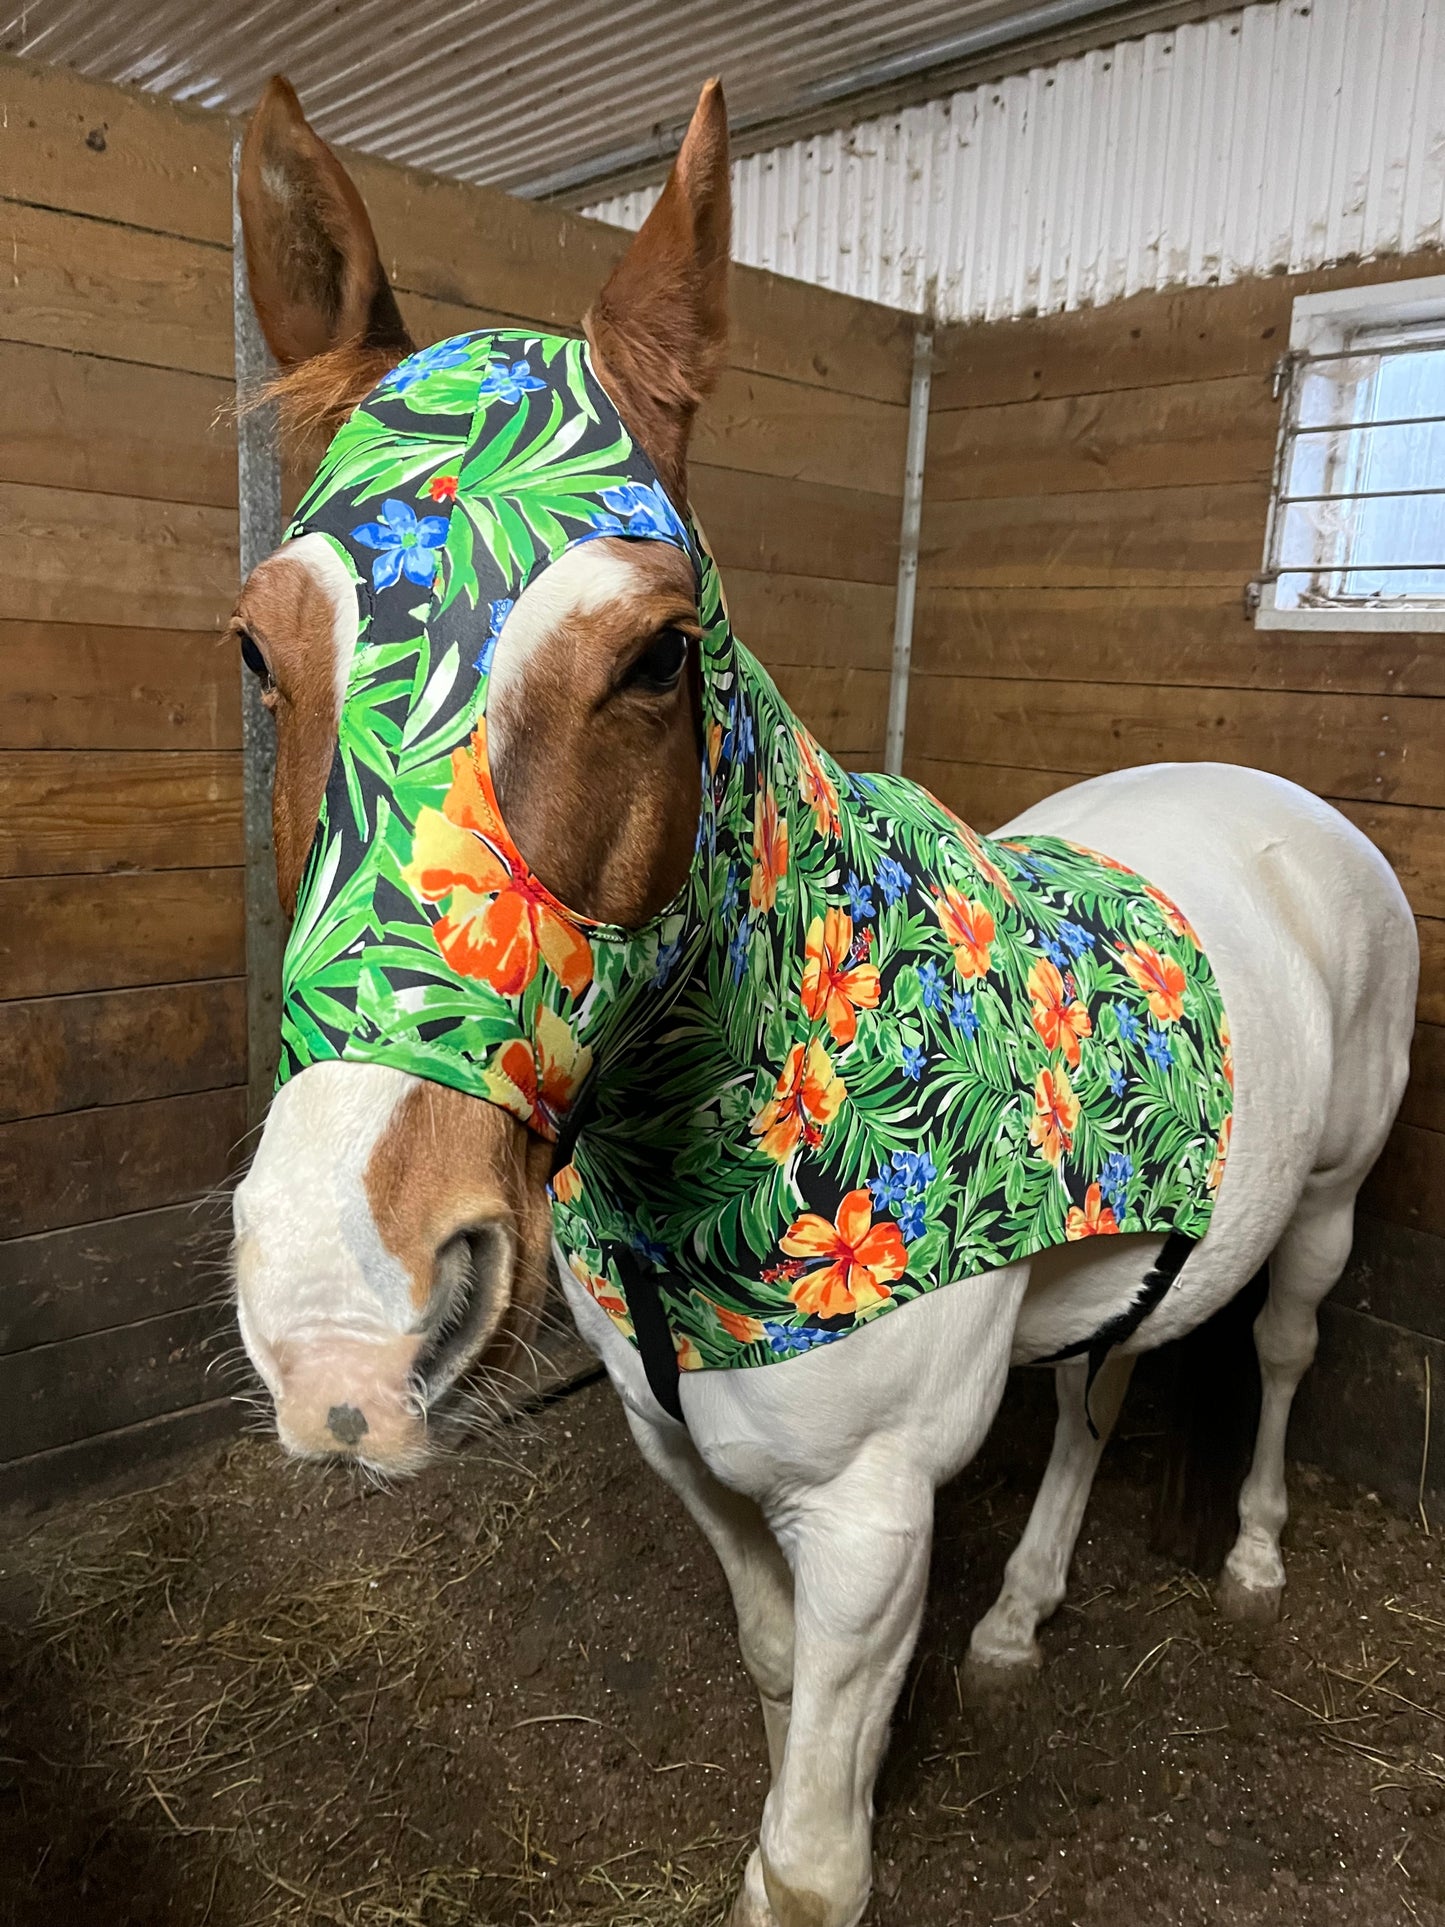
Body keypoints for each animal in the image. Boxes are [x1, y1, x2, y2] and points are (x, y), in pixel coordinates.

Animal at [226, 74, 1418, 1927]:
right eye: (258, 650)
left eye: (655, 657)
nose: (334, 1327)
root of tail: (1292, 804)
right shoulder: (691, 1460)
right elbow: (781, 1688)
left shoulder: (867, 1516)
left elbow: (806, 1862)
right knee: (1097, 1394)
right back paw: (1019, 1619)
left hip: (1330, 1209)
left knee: (1284, 1350)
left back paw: (1255, 1556)